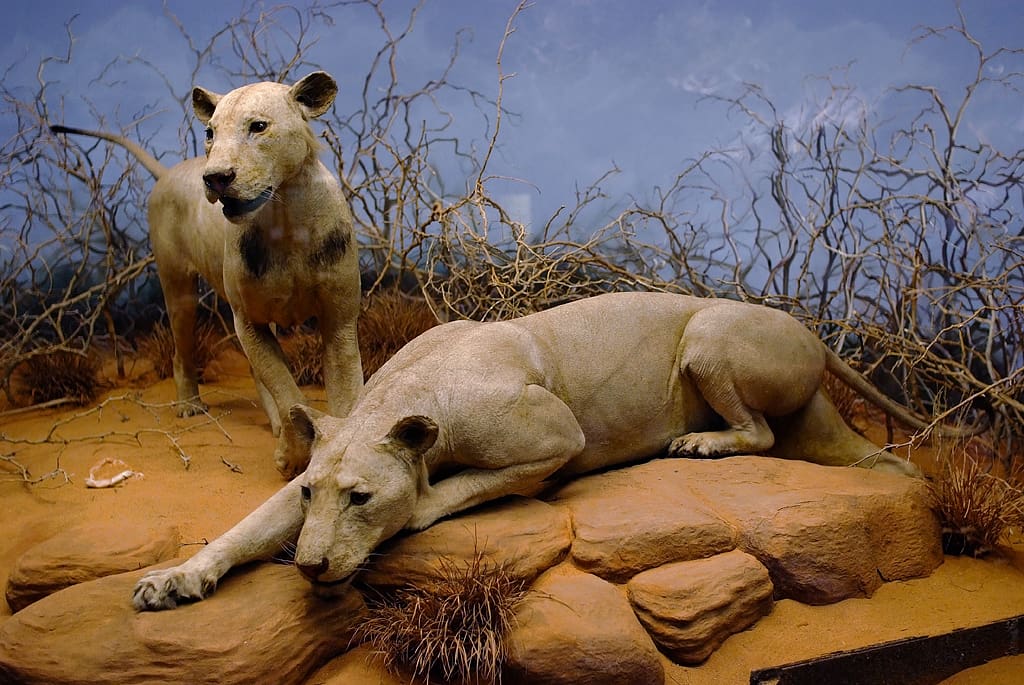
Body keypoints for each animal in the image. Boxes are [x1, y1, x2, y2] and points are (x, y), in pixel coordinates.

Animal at [54, 70, 364, 475]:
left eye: (258, 127)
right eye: (210, 133)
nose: (215, 178)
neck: (285, 220)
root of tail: (169, 172)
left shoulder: (339, 319)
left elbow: (345, 393)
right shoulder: (246, 320)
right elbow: (286, 389)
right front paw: (292, 453)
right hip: (179, 289)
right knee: (182, 351)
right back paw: (190, 405)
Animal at [132, 290, 962, 610]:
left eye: (362, 498)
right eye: (312, 494)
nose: (308, 566)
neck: (404, 398)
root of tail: (816, 334)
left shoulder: (556, 435)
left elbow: (455, 489)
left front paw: (420, 503)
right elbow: (244, 528)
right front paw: (174, 579)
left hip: (709, 334)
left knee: (757, 430)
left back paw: (698, 440)